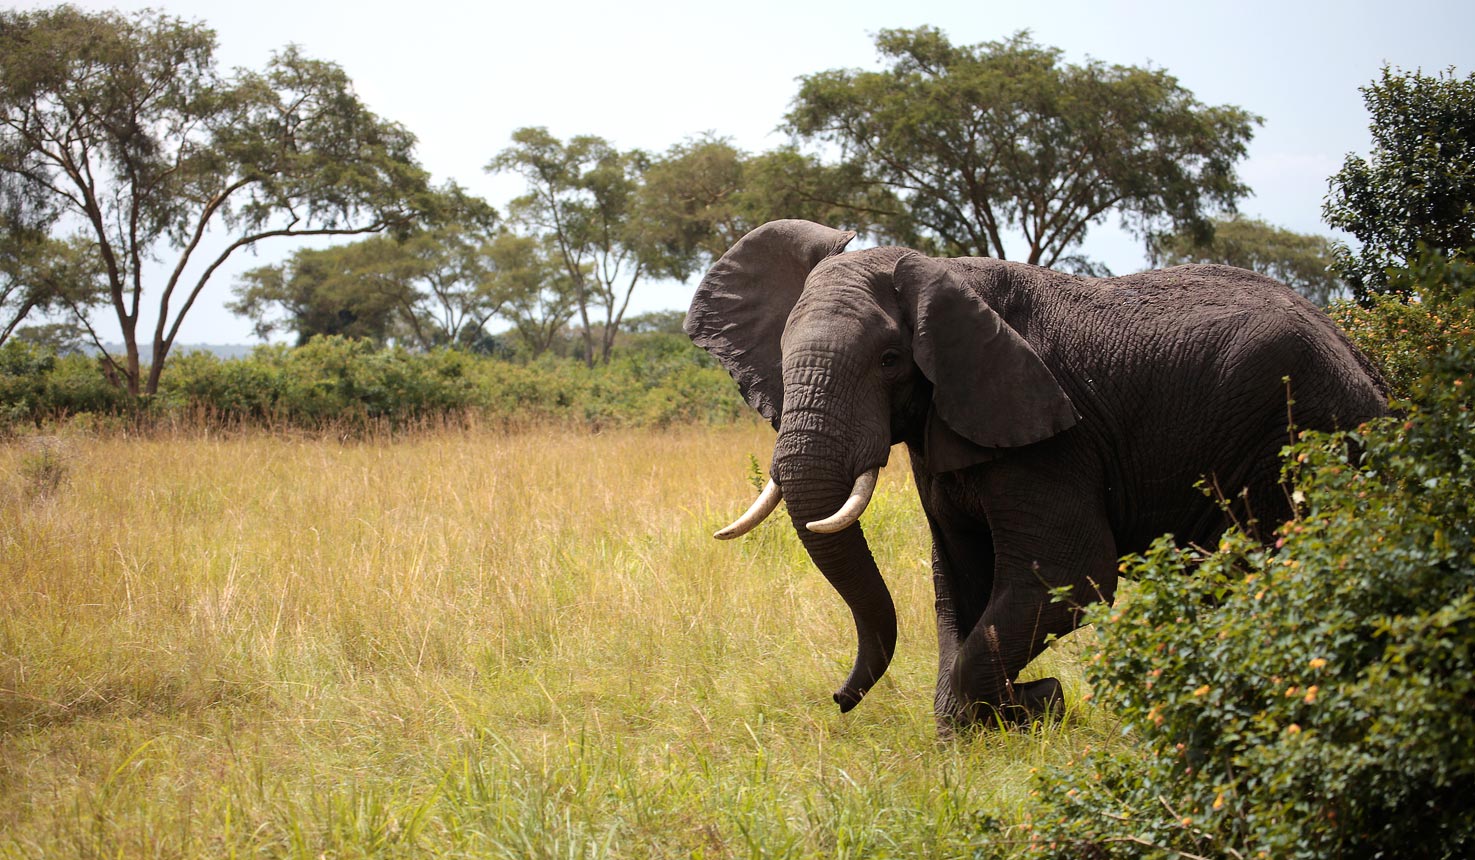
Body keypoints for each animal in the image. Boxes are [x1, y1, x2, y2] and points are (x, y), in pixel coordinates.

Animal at [686, 219, 1390, 732]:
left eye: (889, 360)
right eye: (780, 355)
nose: (838, 698)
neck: (940, 272)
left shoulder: (1051, 434)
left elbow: (1069, 569)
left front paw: (1033, 706)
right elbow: (959, 578)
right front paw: (984, 727)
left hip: (1300, 436)